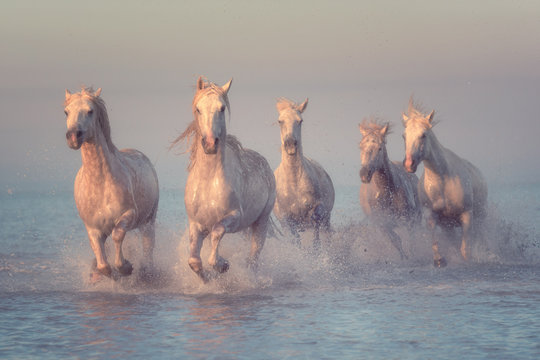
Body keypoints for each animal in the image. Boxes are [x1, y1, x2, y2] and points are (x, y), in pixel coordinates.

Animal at [64, 88, 159, 282]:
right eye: (66, 112)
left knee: (148, 247)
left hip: (148, 221)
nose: (73, 136)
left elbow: (118, 236)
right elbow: (103, 264)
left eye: (90, 111)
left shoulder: (128, 214)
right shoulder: (93, 228)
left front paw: (126, 267)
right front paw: (107, 274)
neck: (100, 184)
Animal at [172, 77, 276, 282]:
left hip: (261, 223)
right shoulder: (196, 225)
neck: (208, 181)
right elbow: (194, 260)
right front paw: (208, 279)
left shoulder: (234, 217)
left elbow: (217, 233)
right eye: (198, 109)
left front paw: (222, 265)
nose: (210, 144)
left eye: (221, 108)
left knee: (253, 259)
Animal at [274, 98, 334, 250]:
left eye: (300, 121)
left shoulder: (315, 215)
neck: (294, 184)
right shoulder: (287, 222)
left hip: (325, 220)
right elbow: (296, 246)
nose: (290, 144)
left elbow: (315, 247)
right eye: (280, 121)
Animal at [358, 120, 422, 258]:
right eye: (360, 146)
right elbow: (396, 240)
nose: (364, 174)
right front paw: (405, 258)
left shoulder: (409, 219)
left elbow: (412, 240)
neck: (387, 191)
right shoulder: (383, 224)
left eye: (380, 148)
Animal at [400, 100, 490, 266]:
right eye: (404, 136)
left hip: (481, 217)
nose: (409, 164)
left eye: (423, 135)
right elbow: (435, 241)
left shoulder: (467, 215)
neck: (442, 182)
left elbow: (465, 249)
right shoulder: (432, 216)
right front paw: (439, 260)